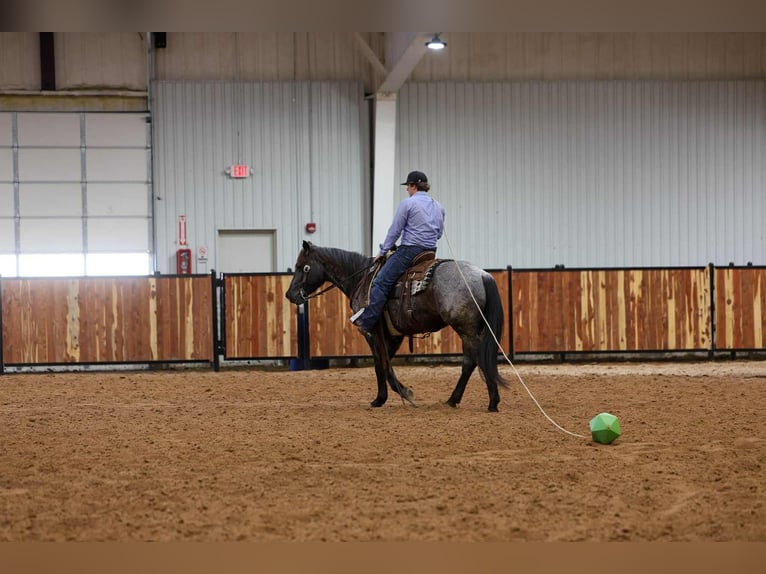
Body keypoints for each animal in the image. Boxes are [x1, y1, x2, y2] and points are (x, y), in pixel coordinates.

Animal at [285, 241, 510, 412]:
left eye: (302, 267)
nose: (289, 295)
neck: (361, 278)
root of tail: (483, 275)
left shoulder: (371, 332)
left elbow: (379, 364)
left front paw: (392, 396)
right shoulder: (392, 336)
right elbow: (385, 364)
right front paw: (390, 395)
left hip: (466, 329)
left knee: (474, 360)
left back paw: (483, 401)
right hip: (475, 328)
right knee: (476, 360)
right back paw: (463, 400)